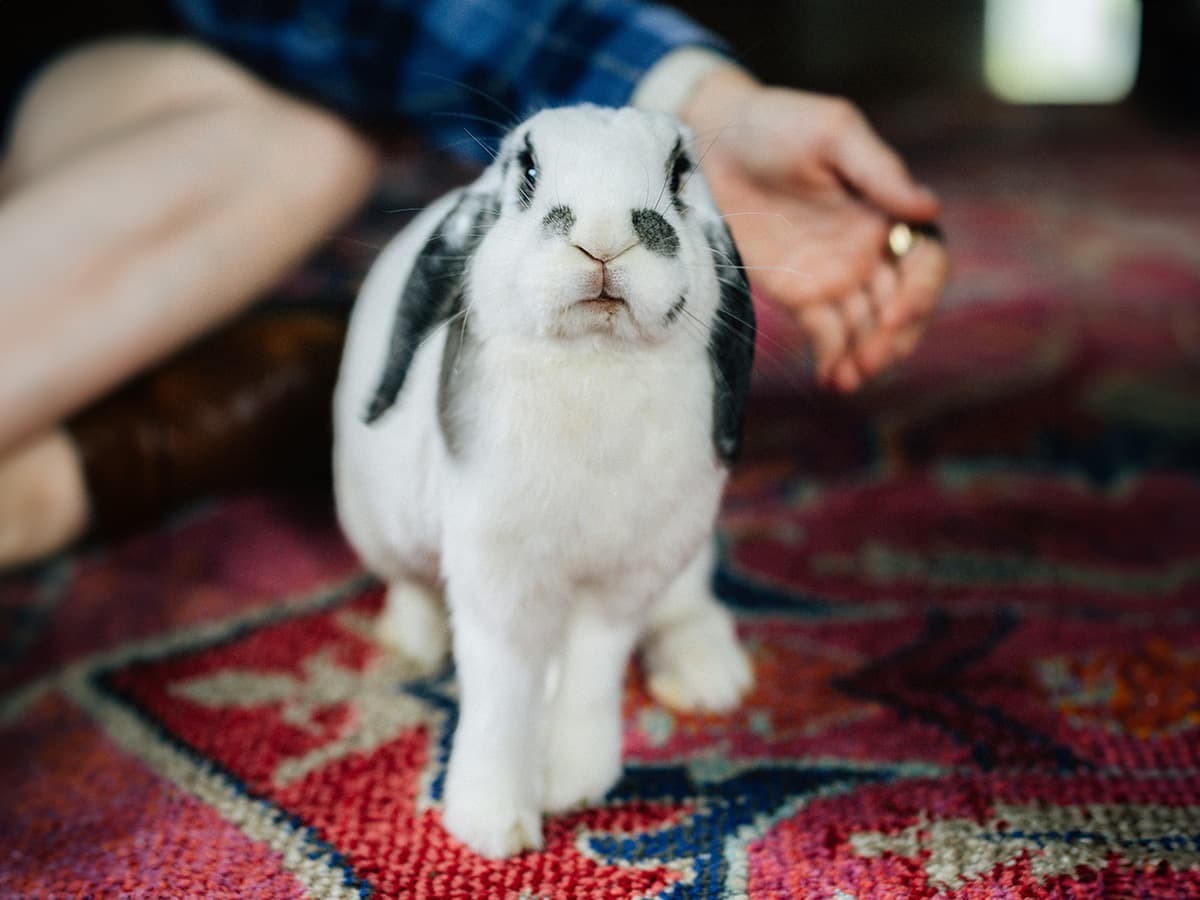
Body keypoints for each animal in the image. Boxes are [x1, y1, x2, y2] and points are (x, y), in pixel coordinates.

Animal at [333, 104, 755, 859]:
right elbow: (503, 690)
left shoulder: (625, 580)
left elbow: (591, 670)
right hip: (380, 527)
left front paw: (574, 785)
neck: (596, 357)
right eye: (527, 170)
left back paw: (709, 677)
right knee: (410, 583)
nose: (604, 237)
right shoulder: (501, 580)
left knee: (683, 603)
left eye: (679, 172)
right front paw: (493, 826)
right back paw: (411, 641)